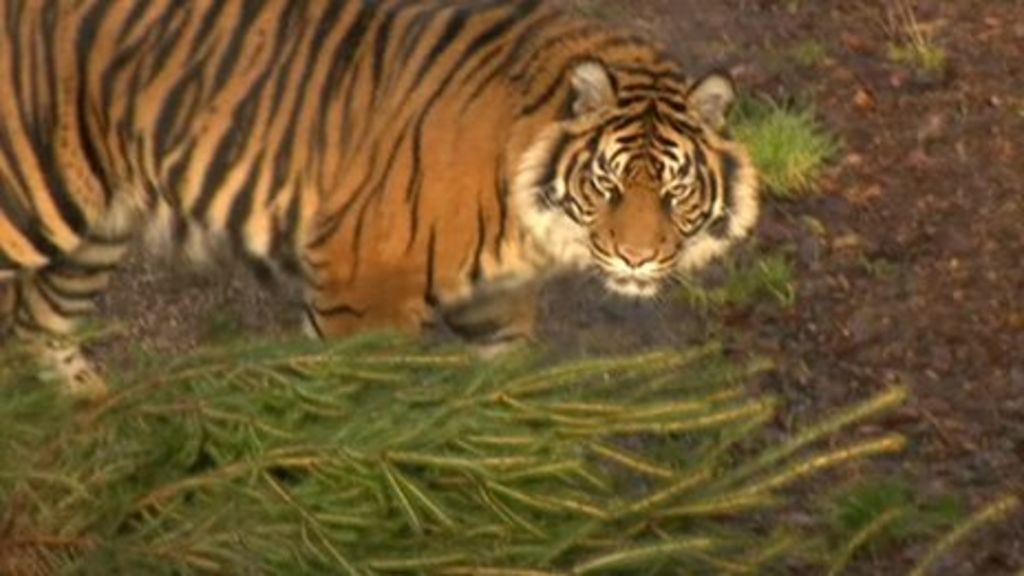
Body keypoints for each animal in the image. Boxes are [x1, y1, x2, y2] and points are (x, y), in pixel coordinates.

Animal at [2, 0, 761, 397]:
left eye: (675, 190)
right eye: (607, 183)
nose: (637, 259)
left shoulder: (495, 305)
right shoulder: (364, 295)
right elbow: (348, 409)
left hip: (99, 227)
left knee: (40, 323)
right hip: (34, 202)